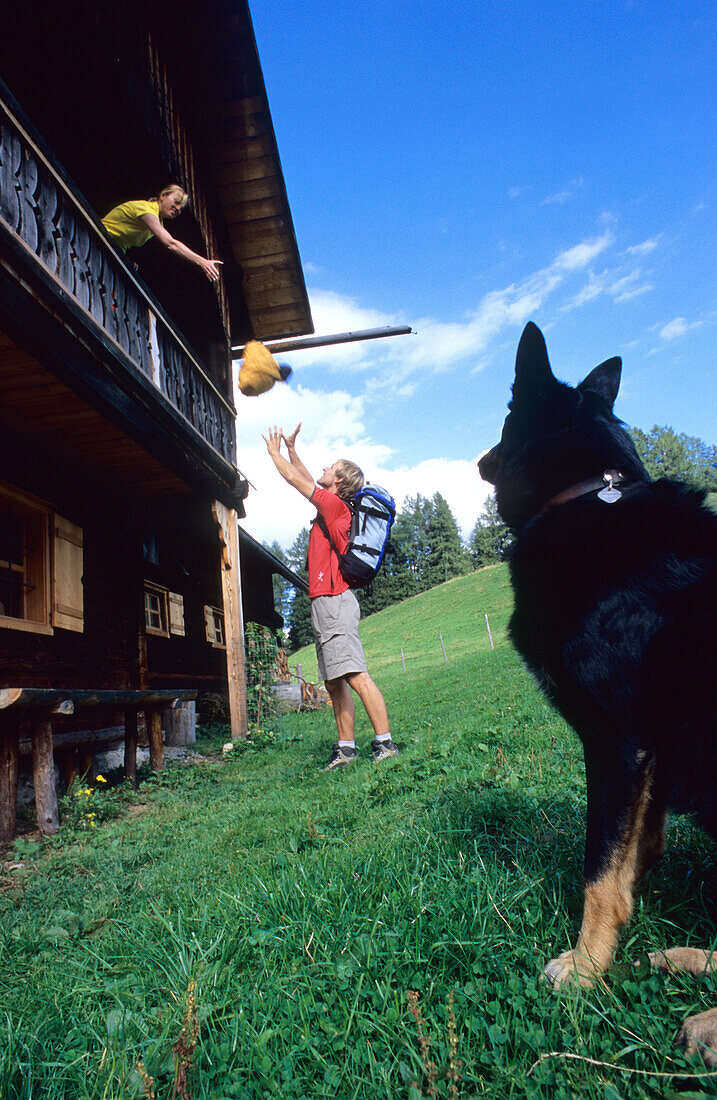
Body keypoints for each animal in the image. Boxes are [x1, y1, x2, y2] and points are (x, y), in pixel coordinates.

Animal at [479, 323, 717, 1056]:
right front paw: (626, 923)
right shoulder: (648, 751)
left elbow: (597, 868)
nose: (480, 459)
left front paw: (585, 967)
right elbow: (632, 852)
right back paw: (682, 960)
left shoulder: (614, 740)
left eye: (506, 411)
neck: (586, 493)